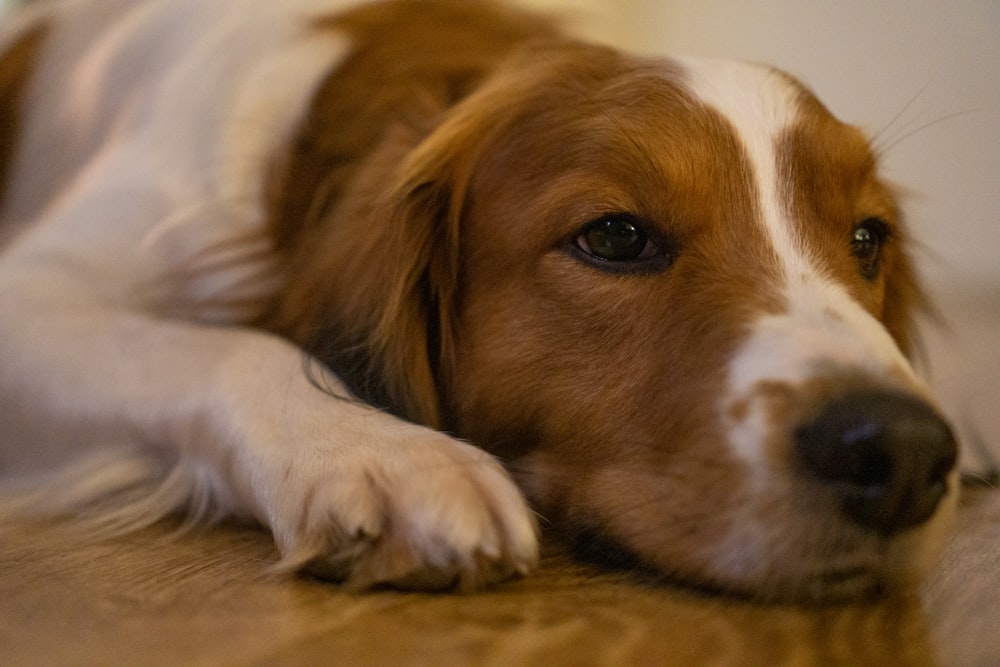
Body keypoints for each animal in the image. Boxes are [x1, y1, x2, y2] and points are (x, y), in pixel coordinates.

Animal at [0, 0, 960, 604]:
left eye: (867, 238)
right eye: (616, 237)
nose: (906, 451)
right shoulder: (33, 290)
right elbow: (229, 345)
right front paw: (381, 450)